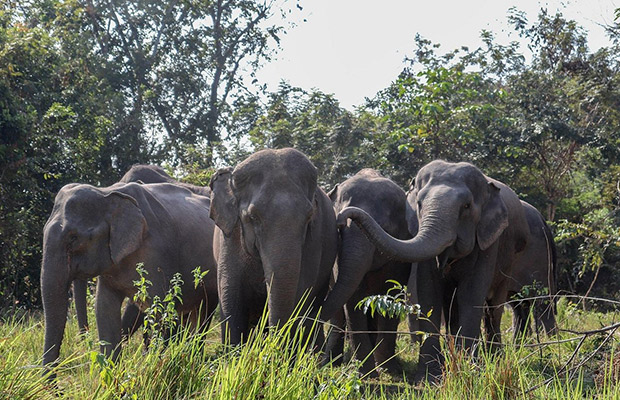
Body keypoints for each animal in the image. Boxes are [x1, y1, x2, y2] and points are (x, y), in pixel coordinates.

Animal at [41, 182, 218, 376]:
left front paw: (153, 367)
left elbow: (160, 309)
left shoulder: (156, 253)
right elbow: (104, 308)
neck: (107, 193)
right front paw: (111, 376)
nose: (53, 385)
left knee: (203, 314)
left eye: (73, 238)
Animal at [208, 148, 336, 346]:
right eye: (253, 217)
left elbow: (301, 296)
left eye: (309, 217)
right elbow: (231, 302)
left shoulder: (314, 241)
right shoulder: (229, 239)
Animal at [324, 167, 412, 374]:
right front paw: (365, 372)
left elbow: (392, 295)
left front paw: (389, 371)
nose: (342, 218)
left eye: (384, 227)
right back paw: (329, 362)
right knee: (338, 312)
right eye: (339, 230)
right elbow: (353, 299)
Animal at [340, 159, 528, 382]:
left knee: (494, 307)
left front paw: (468, 371)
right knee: (453, 308)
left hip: (508, 259)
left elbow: (471, 294)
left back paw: (494, 357)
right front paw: (429, 376)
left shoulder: (489, 242)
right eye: (420, 204)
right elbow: (429, 292)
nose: (341, 216)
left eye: (466, 206)